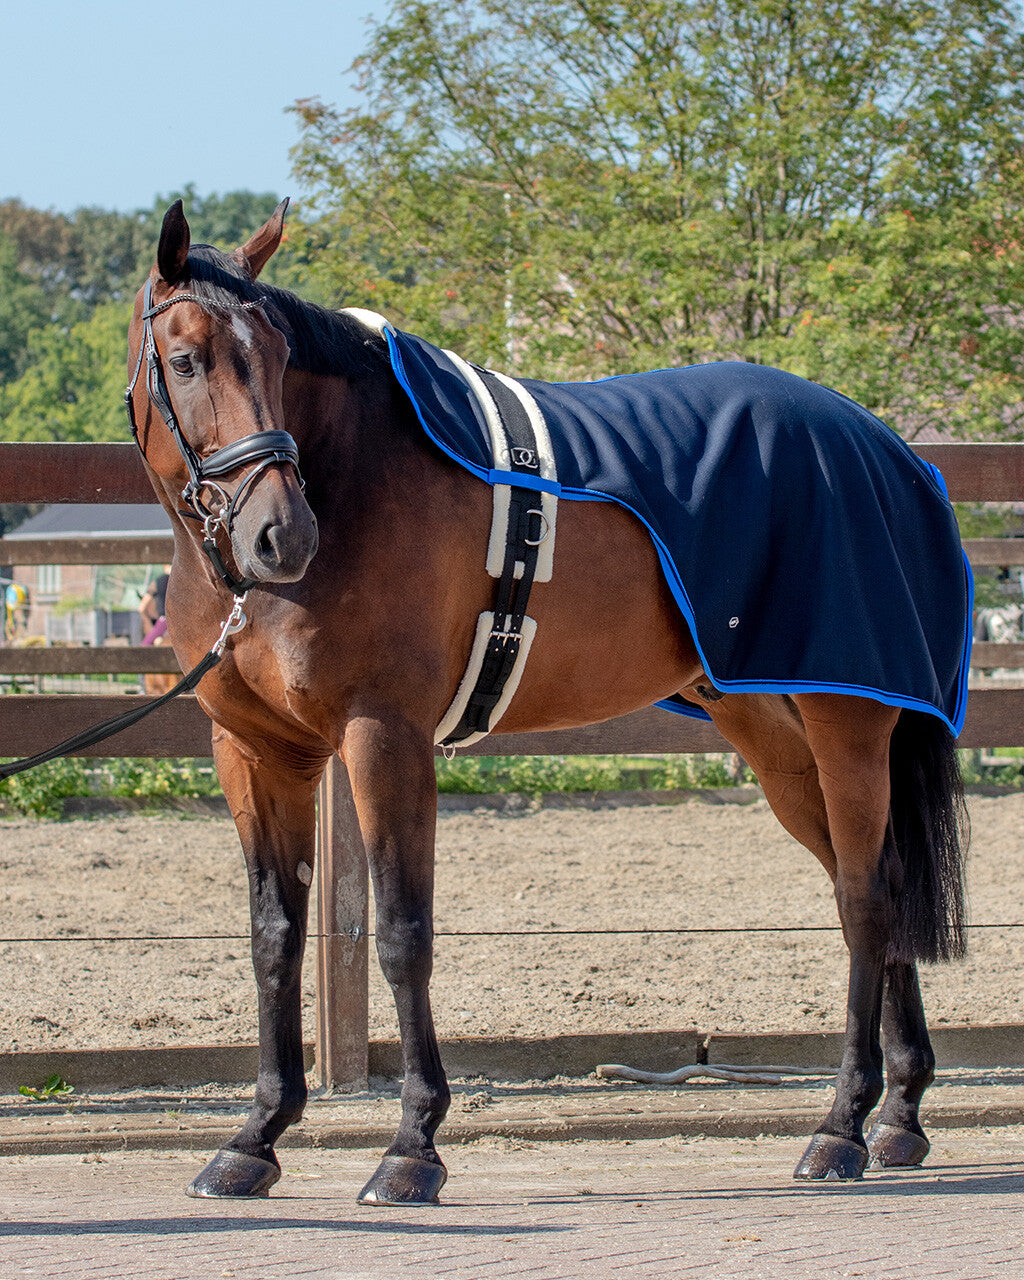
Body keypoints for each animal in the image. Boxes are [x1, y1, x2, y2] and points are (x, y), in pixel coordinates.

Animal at [124, 197, 972, 1198]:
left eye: (280, 356)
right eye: (187, 359)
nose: (280, 534)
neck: (354, 473)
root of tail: (892, 453)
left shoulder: (384, 735)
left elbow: (403, 931)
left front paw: (412, 1146)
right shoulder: (259, 752)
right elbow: (274, 937)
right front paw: (255, 1137)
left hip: (848, 722)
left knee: (866, 901)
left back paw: (840, 1127)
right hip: (774, 732)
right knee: (873, 882)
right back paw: (899, 1118)